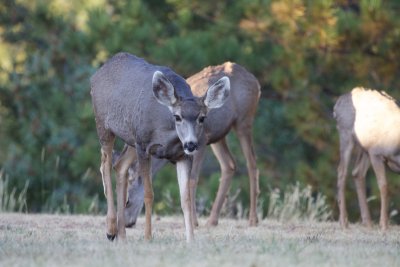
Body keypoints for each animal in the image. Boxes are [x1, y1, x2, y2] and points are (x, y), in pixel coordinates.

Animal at [89, 52, 230, 243]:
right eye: (177, 117)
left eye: (202, 117)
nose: (191, 144)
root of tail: (98, 73)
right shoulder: (143, 146)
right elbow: (149, 194)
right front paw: (148, 236)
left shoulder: (182, 156)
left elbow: (185, 198)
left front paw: (191, 239)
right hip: (104, 125)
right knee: (105, 165)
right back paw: (110, 230)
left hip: (131, 138)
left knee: (120, 166)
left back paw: (122, 235)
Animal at [114, 62, 260, 228]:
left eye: (127, 201)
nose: (127, 223)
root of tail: (255, 82)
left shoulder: (201, 141)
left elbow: (192, 179)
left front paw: (193, 221)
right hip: (219, 135)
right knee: (229, 164)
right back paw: (212, 220)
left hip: (244, 120)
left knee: (252, 164)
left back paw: (253, 219)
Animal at [334, 87, 400, 230]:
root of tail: (337, 104)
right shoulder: (376, 153)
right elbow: (384, 186)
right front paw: (383, 224)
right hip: (346, 135)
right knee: (342, 172)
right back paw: (344, 221)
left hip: (364, 149)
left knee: (357, 173)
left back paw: (367, 222)